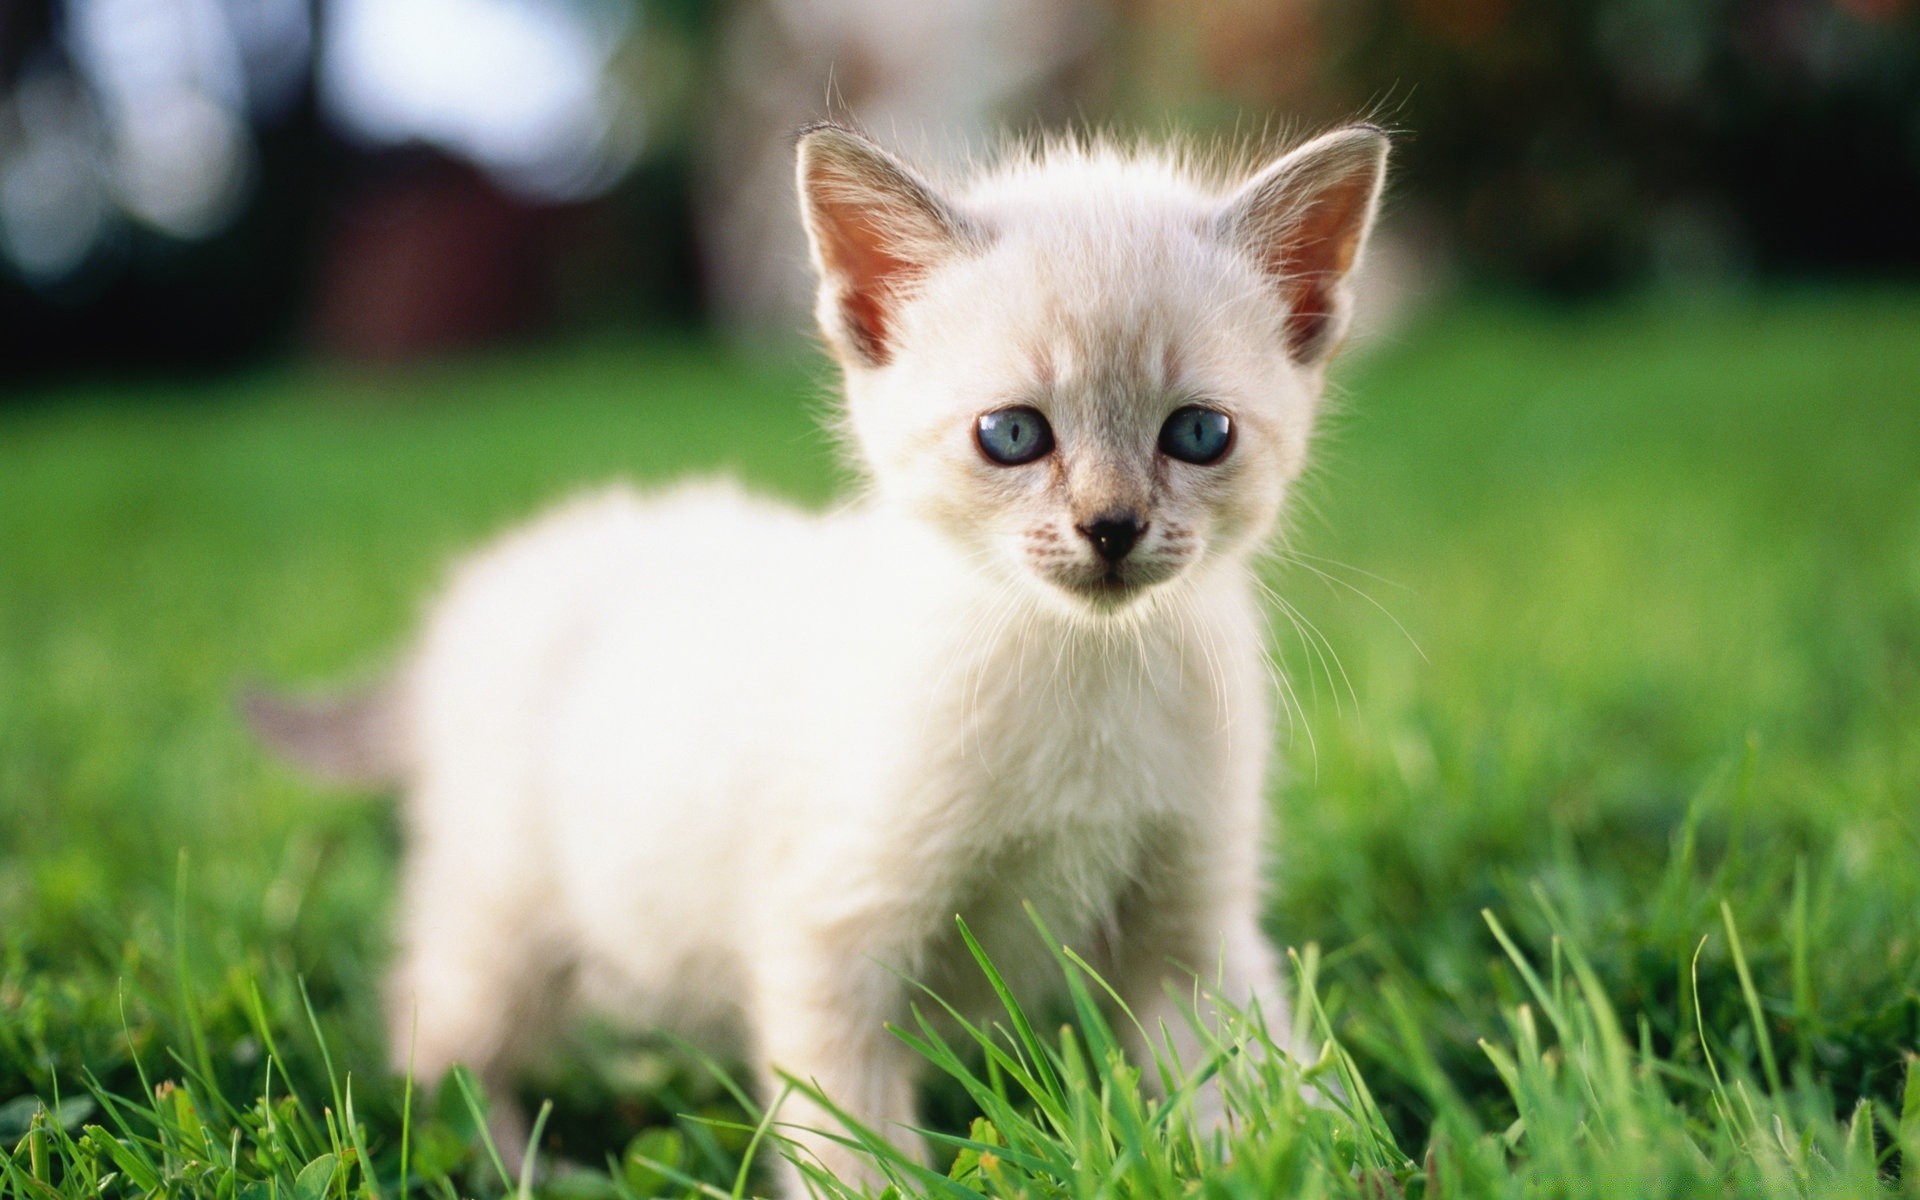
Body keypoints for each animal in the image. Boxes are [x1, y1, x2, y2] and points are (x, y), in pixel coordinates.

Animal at [259, 123, 1397, 1198]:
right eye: (1012, 435)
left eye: (1198, 434)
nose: (1111, 529)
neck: (1082, 673)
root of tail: (485, 592)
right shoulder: (833, 934)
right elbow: (852, 1144)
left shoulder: (1190, 929)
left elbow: (1266, 1077)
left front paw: (1337, 1161)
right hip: (507, 913)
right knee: (436, 1036)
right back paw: (527, 1166)